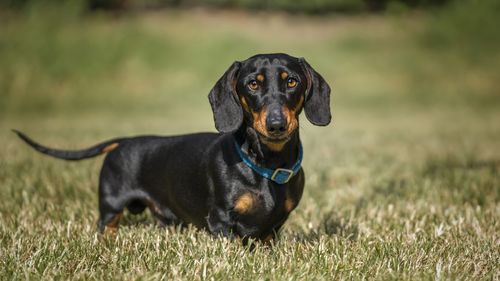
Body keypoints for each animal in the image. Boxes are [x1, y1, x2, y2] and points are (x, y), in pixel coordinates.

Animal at [13, 53, 330, 243]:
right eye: (253, 84)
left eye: (292, 81)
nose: (276, 125)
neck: (265, 164)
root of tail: (124, 140)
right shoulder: (221, 221)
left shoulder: (272, 227)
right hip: (110, 205)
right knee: (107, 225)